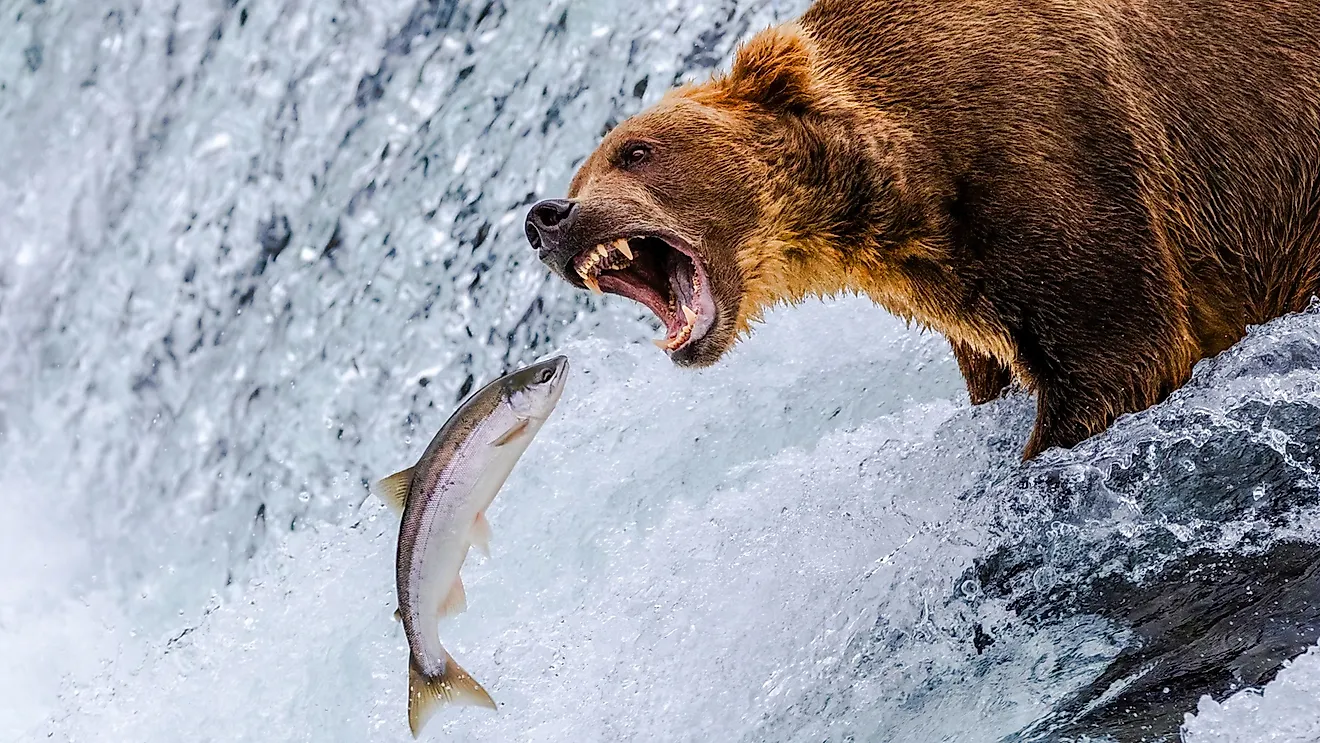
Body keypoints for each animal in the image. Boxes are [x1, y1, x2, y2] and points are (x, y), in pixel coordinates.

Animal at [524, 0, 1320, 459]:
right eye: (580, 174)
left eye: (635, 150)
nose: (545, 216)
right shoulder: (966, 287)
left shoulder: (1054, 152)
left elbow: (1119, 352)